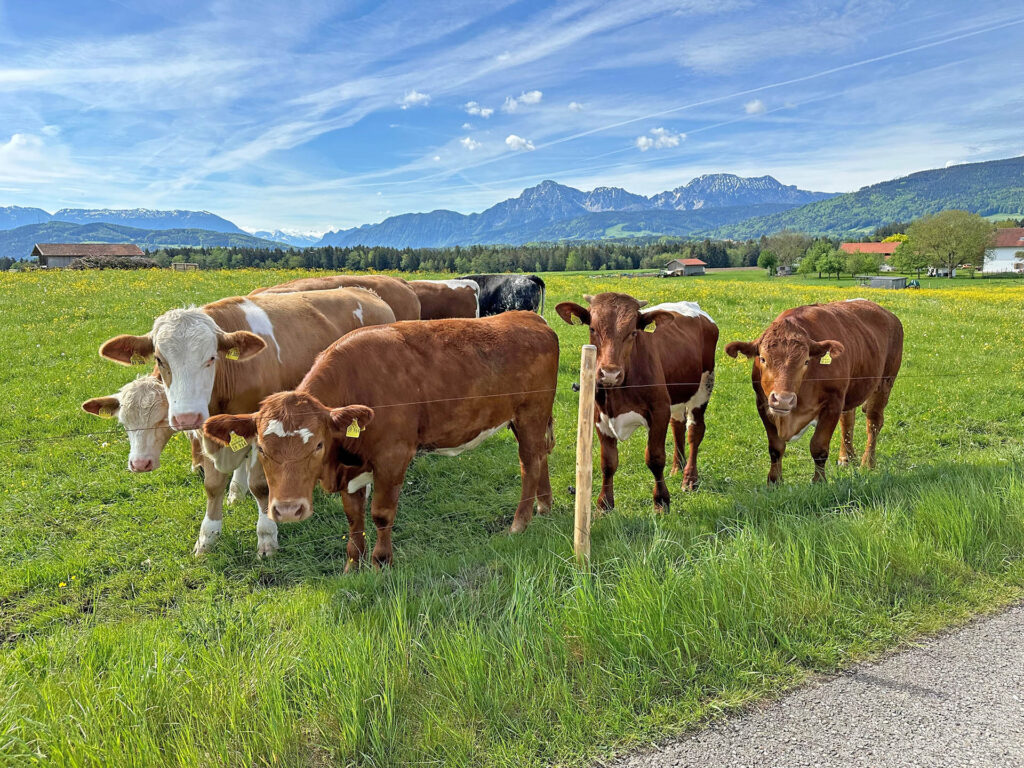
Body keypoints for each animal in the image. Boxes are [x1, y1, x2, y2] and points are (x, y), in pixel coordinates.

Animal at [96, 289, 396, 556]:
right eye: (160, 359)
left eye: (211, 358)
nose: (186, 417)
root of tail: (367, 293)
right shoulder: (213, 432)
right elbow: (213, 485)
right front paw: (208, 536)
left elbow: (260, 486)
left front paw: (267, 536)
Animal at [203, 312, 558, 568]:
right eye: (262, 449)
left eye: (318, 445)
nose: (289, 510)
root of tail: (530, 317)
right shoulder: (351, 470)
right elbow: (354, 517)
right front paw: (352, 564)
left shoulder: (392, 457)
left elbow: (381, 514)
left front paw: (380, 562)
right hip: (528, 420)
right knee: (541, 456)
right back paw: (544, 506)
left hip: (530, 414)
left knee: (529, 464)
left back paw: (520, 523)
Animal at [556, 293, 717, 512]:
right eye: (592, 329)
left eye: (633, 332)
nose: (610, 373)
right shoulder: (599, 417)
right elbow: (608, 462)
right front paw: (604, 505)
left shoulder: (659, 411)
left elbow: (655, 458)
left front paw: (661, 501)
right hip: (676, 396)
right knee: (678, 425)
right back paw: (677, 468)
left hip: (703, 387)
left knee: (695, 430)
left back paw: (689, 478)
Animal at [724, 298, 903, 484]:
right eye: (763, 359)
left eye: (806, 361)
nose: (783, 400)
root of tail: (889, 315)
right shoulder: (763, 403)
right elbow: (775, 447)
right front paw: (774, 482)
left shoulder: (833, 403)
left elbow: (818, 447)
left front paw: (819, 481)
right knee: (848, 420)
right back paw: (846, 458)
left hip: (885, 382)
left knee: (873, 423)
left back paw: (867, 463)